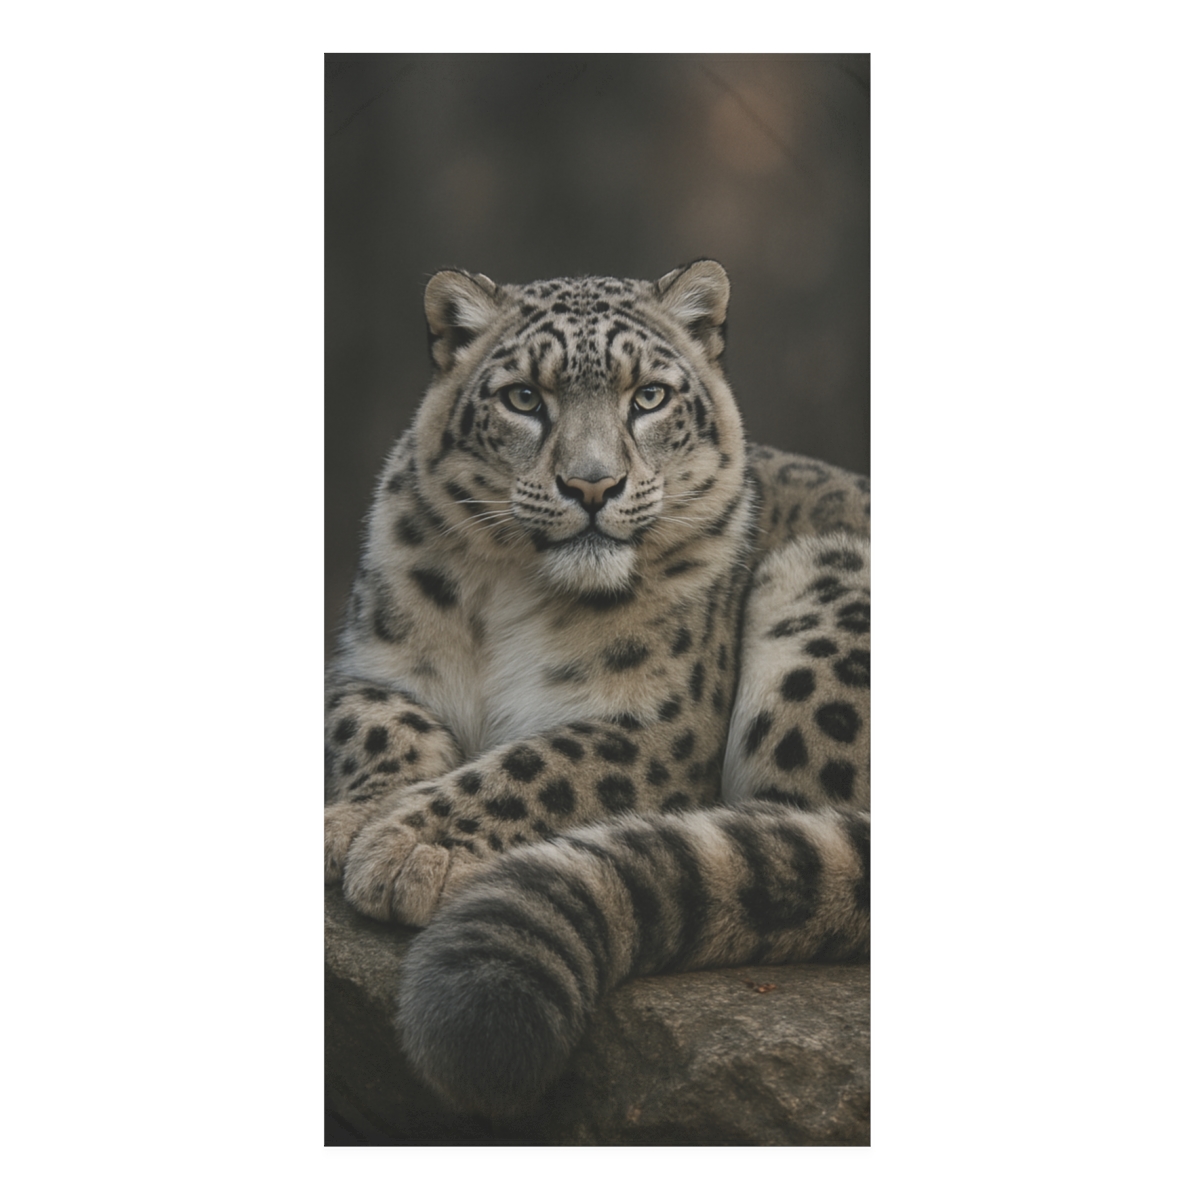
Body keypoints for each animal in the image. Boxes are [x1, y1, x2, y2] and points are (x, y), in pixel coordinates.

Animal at [325, 260, 870, 1121]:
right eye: (524, 397)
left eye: (648, 396)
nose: (591, 486)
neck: (512, 597)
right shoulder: (364, 665)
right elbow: (376, 720)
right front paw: (352, 820)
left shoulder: (662, 725)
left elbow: (539, 761)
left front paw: (410, 847)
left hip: (819, 582)